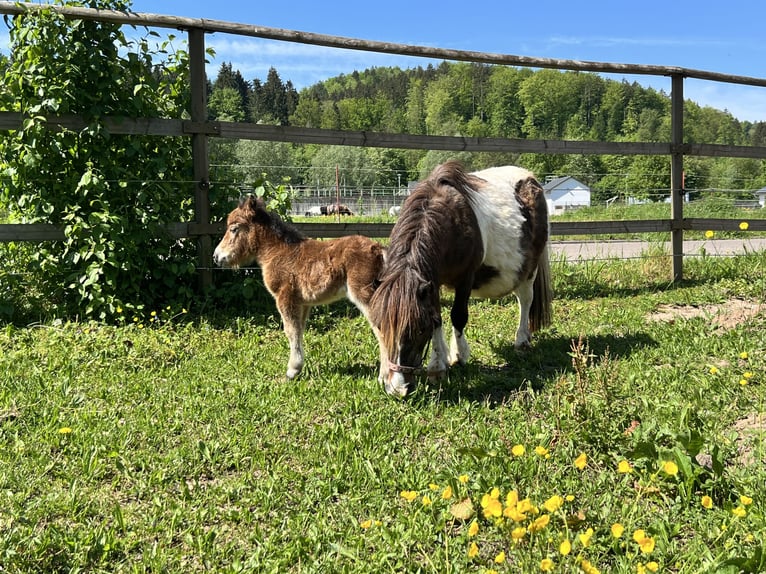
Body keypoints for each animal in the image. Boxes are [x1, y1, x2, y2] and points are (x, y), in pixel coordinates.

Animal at [213, 198, 388, 382]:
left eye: (233, 229)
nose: (216, 257)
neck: (277, 251)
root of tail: (378, 249)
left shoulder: (285, 297)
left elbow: (290, 331)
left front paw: (292, 370)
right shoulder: (303, 303)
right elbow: (299, 330)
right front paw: (298, 367)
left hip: (365, 295)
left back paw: (385, 378)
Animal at [370, 160, 556, 398]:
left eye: (419, 330)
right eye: (379, 326)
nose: (398, 388)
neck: (450, 222)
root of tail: (532, 179)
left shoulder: (465, 278)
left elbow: (458, 316)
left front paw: (458, 357)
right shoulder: (432, 282)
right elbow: (436, 318)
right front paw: (437, 367)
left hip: (529, 270)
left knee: (525, 300)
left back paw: (522, 341)